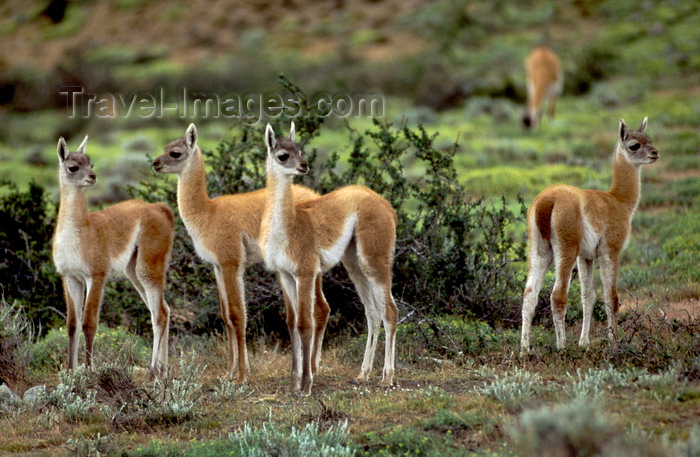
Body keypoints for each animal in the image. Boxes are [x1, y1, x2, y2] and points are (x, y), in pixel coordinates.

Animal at [51, 134, 172, 370]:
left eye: (91, 164)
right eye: (73, 167)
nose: (93, 176)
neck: (82, 231)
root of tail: (160, 208)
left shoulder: (96, 274)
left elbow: (89, 323)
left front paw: (89, 369)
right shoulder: (70, 277)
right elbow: (72, 325)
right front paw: (70, 370)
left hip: (149, 262)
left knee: (160, 314)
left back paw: (154, 371)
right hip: (133, 270)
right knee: (163, 310)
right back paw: (164, 371)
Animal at [152, 124, 324, 382]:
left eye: (175, 153)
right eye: (165, 147)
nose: (155, 163)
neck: (207, 213)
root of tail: (315, 195)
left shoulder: (231, 261)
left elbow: (237, 315)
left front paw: (241, 374)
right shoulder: (217, 265)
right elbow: (225, 316)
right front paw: (229, 371)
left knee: (319, 309)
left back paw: (312, 368)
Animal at [262, 123, 400, 394]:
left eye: (300, 150)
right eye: (283, 155)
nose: (304, 165)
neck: (288, 228)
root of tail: (385, 204)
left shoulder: (305, 272)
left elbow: (305, 323)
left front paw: (306, 384)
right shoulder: (284, 275)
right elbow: (291, 322)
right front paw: (293, 381)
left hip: (374, 256)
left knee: (390, 311)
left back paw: (387, 377)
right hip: (353, 262)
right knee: (373, 313)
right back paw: (363, 374)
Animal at [524, 116, 660, 350]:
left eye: (649, 139)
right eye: (634, 145)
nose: (655, 153)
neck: (619, 201)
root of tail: (546, 202)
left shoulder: (586, 256)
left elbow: (588, 296)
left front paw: (584, 342)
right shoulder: (610, 250)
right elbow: (611, 296)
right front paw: (614, 342)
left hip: (539, 249)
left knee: (529, 295)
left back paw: (523, 350)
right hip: (566, 247)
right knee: (557, 295)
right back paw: (561, 346)